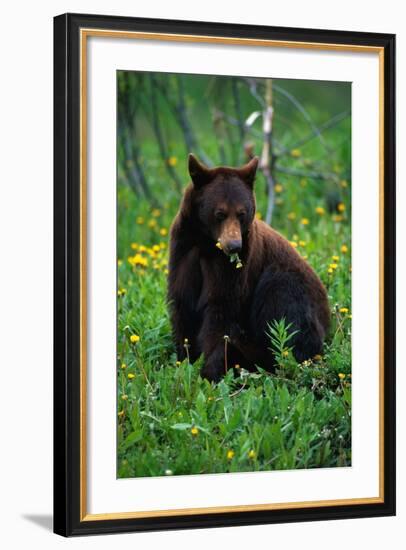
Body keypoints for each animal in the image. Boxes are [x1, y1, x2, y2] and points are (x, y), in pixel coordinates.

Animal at [168, 153, 330, 382]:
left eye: (242, 213)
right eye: (220, 213)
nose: (234, 245)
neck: (207, 245)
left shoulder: (235, 268)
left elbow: (222, 311)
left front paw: (211, 371)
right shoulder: (183, 251)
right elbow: (183, 305)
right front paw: (185, 360)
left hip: (286, 283)